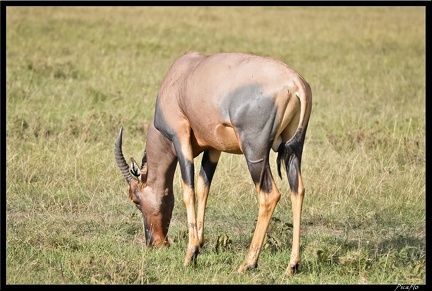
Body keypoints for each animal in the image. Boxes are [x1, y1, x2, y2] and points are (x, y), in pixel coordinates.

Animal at [114, 50, 310, 276]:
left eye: (135, 199)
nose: (155, 243)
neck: (181, 76)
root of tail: (295, 83)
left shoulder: (179, 137)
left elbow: (188, 190)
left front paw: (191, 254)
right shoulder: (214, 147)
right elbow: (203, 187)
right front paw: (199, 243)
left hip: (254, 152)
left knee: (269, 195)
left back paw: (247, 263)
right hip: (293, 149)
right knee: (298, 190)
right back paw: (292, 265)